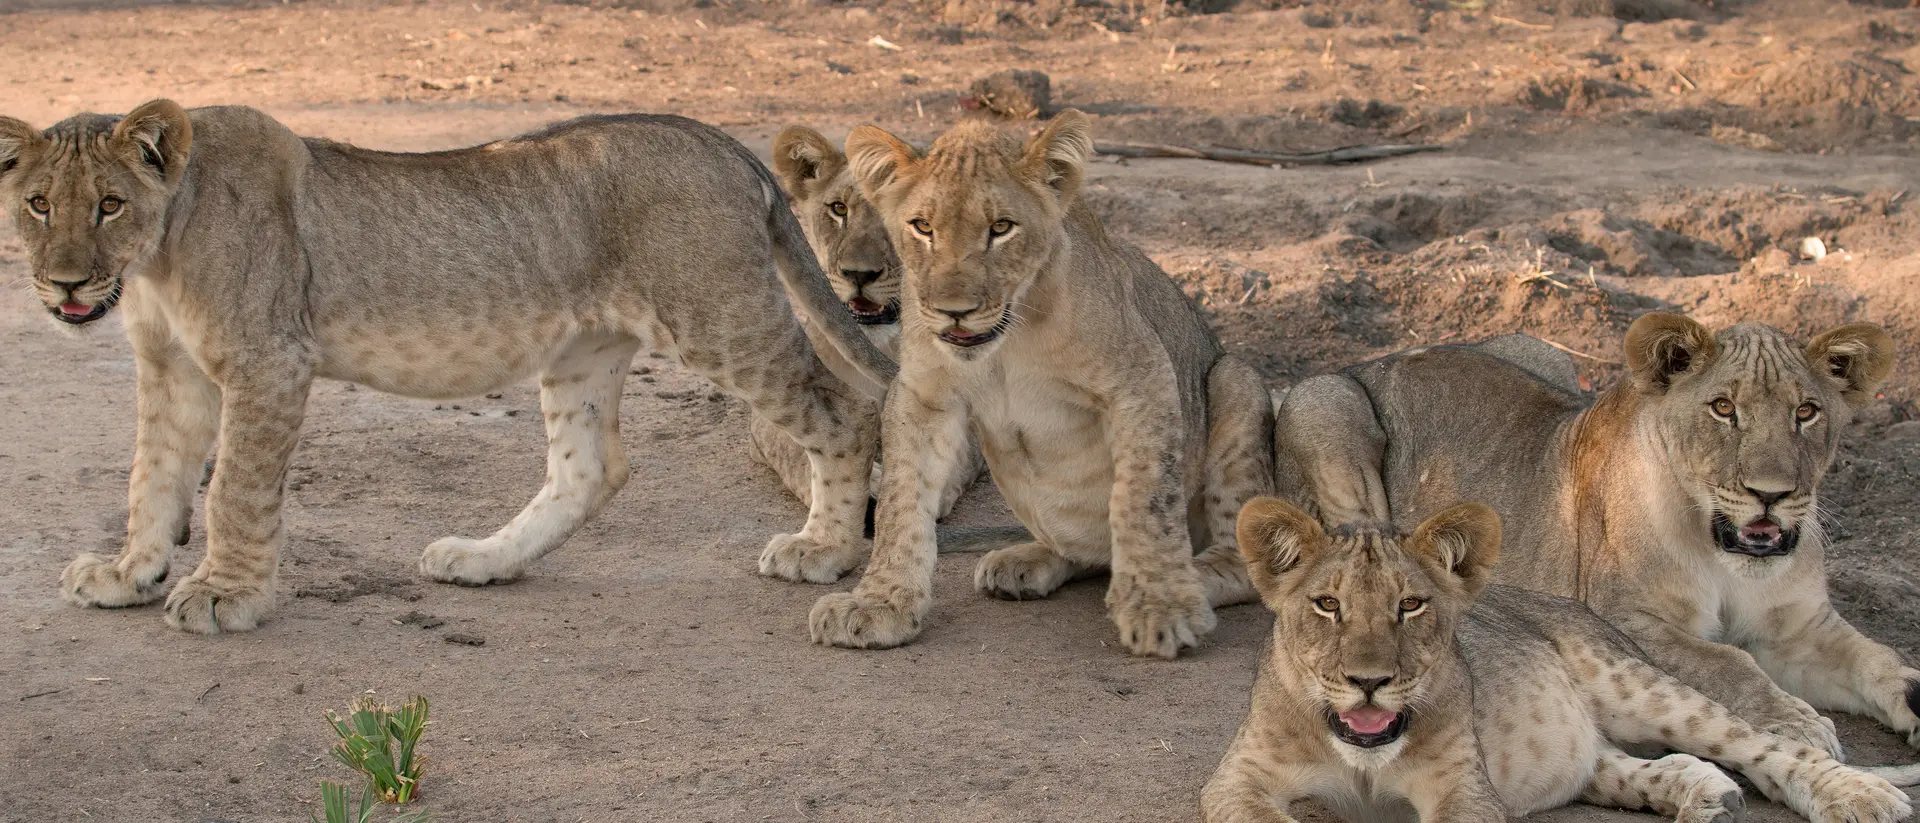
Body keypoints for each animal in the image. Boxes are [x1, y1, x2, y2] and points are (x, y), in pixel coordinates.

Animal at [0, 100, 896, 632]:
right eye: (39, 204)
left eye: (109, 204)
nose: (66, 283)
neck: (155, 256)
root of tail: (722, 143)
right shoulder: (169, 368)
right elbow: (150, 477)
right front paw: (129, 573)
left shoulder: (269, 361)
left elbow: (232, 491)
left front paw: (226, 595)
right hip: (584, 349)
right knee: (591, 469)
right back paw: (484, 559)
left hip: (719, 316)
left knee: (843, 410)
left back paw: (824, 549)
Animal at [805, 111, 1276, 658]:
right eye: (923, 227)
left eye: (1001, 228)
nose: (954, 311)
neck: (1008, 340)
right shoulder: (922, 395)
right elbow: (900, 504)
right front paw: (880, 604)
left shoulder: (1142, 375)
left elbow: (1144, 496)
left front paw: (1161, 608)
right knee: (1085, 554)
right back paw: (1024, 563)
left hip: (1236, 379)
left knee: (1242, 565)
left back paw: (1191, 579)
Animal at [1204, 497, 1917, 823]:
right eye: (1327, 604)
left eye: (1411, 605)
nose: (1369, 681)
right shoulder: (1235, 780)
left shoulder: (1466, 790)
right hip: (1582, 751)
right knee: (1634, 764)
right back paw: (1706, 795)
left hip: (1639, 686)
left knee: (1769, 747)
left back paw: (1859, 795)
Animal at [1274, 314, 1918, 757]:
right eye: (1723, 409)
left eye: (1806, 412)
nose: (1772, 494)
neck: (1727, 556)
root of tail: (1372, 359)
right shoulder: (1625, 619)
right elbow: (1728, 660)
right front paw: (1799, 723)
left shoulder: (1802, 628)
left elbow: (1880, 660)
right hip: (1323, 401)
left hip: (1541, 350)